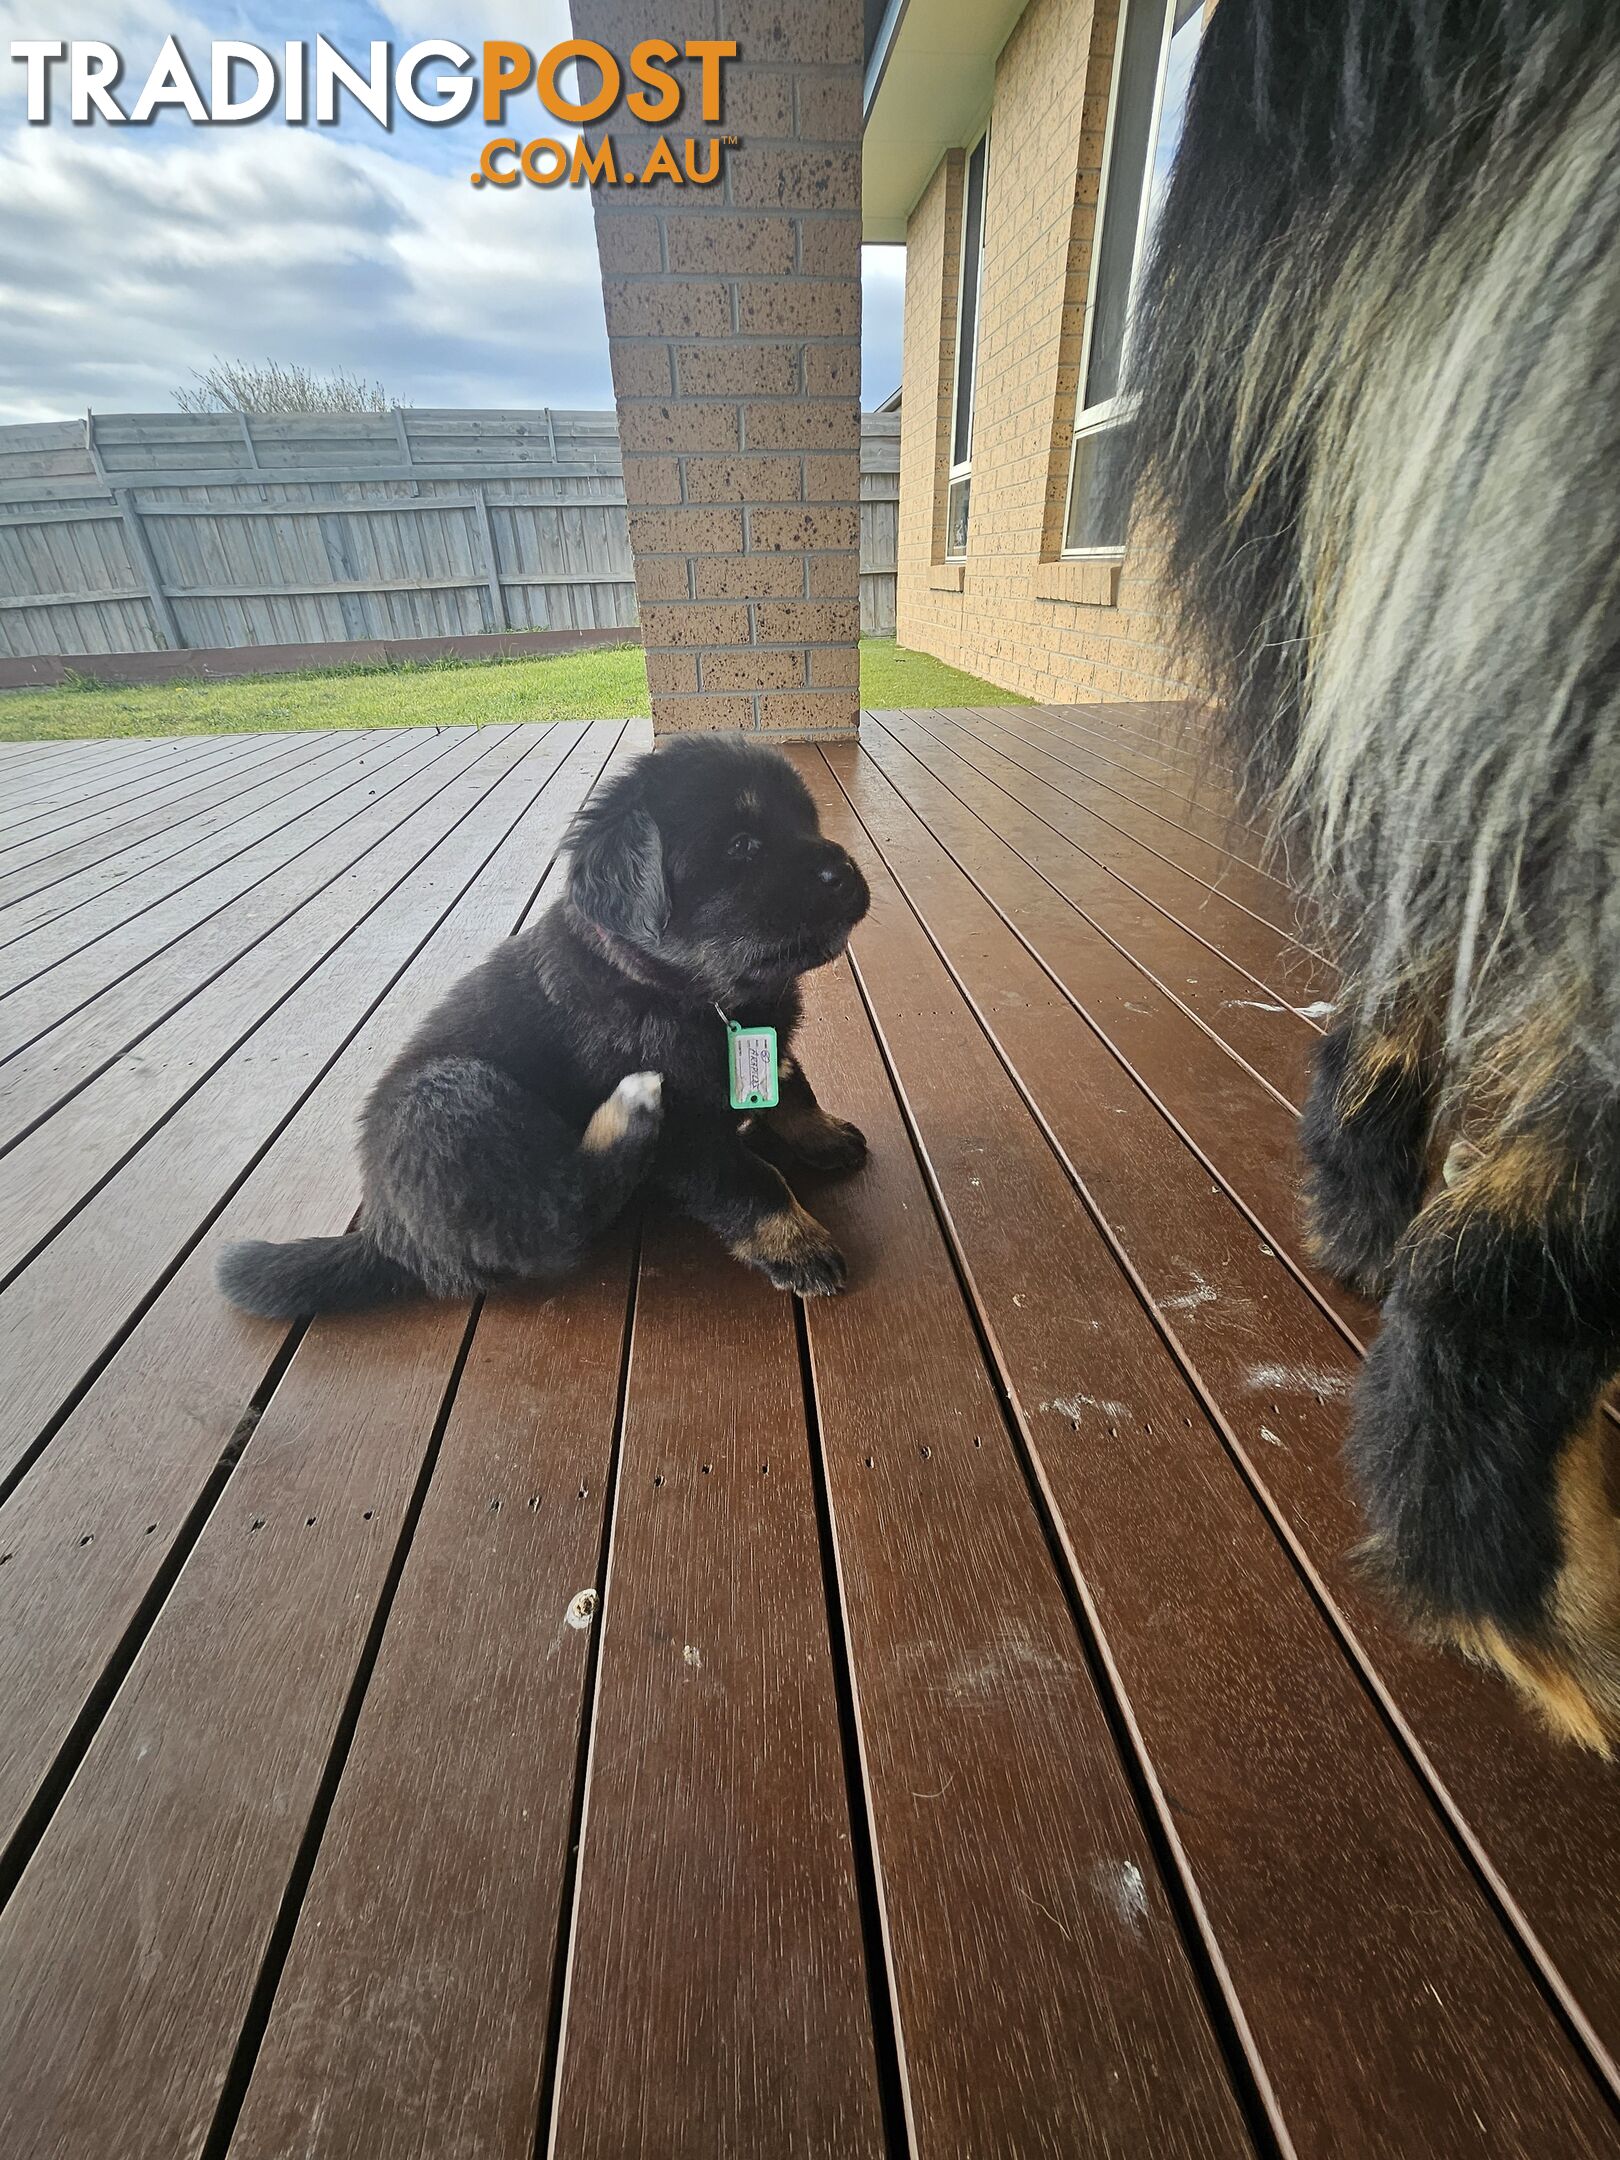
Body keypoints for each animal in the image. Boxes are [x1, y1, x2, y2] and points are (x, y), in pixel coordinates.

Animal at [220, 738, 876, 1313]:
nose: (844, 868)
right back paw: (630, 1109)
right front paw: (798, 1244)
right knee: (558, 1222)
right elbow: (751, 1182)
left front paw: (823, 1133)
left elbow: (792, 1083)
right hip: (448, 1096)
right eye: (743, 846)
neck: (694, 994)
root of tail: (390, 1238)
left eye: (808, 823)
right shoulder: (690, 1134)